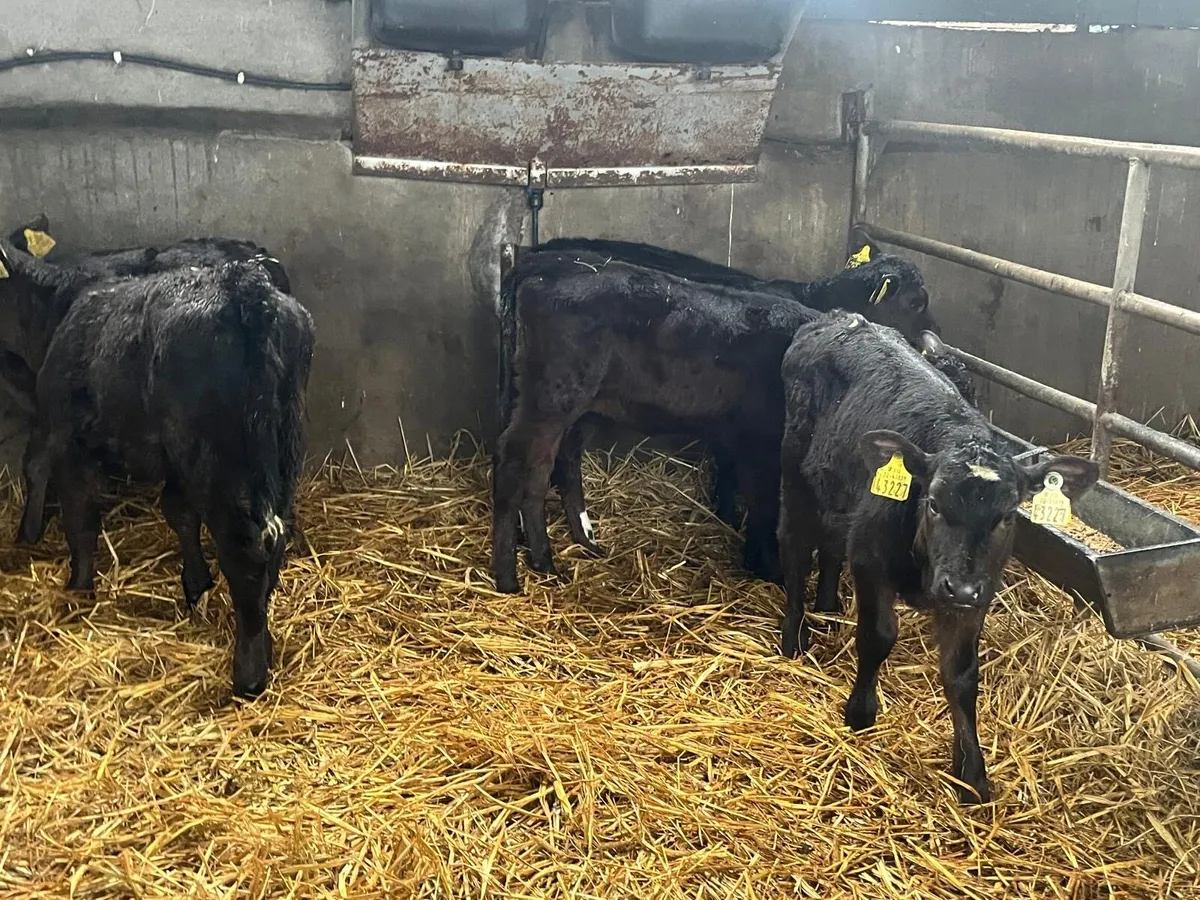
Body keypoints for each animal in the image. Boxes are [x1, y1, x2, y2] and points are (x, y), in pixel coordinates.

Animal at [0, 239, 314, 698]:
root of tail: (245, 287)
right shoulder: (173, 459)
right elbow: (178, 512)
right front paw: (196, 584)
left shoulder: (67, 435)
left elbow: (77, 512)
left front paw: (76, 586)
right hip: (281, 444)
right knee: (277, 533)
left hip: (219, 457)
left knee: (246, 547)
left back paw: (249, 670)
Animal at [492, 245, 928, 593]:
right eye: (916, 303)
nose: (932, 343)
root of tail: (546, 263)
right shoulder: (760, 440)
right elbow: (764, 501)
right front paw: (766, 565)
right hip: (550, 397)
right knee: (515, 464)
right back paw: (508, 575)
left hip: (564, 402)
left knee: (546, 467)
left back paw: (557, 553)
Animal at [777, 311, 1098, 803]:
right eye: (932, 503)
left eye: (1008, 515)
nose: (958, 587)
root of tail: (839, 317)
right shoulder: (870, 562)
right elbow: (878, 636)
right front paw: (860, 712)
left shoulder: (977, 593)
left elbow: (962, 674)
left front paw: (972, 772)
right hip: (796, 476)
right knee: (794, 548)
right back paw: (794, 636)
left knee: (830, 545)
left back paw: (828, 607)